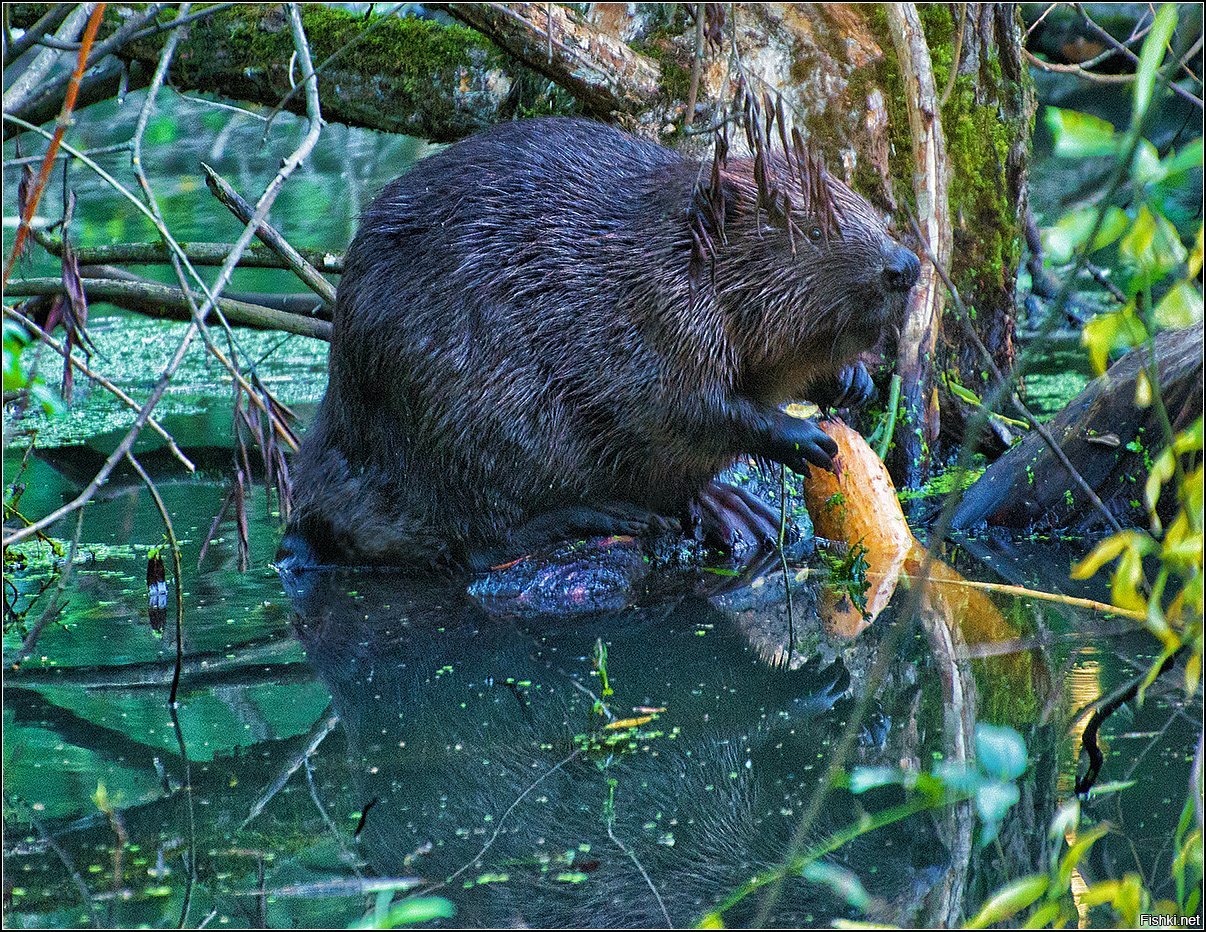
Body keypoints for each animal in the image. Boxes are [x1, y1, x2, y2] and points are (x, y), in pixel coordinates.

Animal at [282, 116, 916, 566]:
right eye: (810, 228)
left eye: (861, 205)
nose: (906, 267)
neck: (664, 252)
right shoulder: (653, 318)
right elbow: (687, 409)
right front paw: (808, 439)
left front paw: (852, 381)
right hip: (459, 420)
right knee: (475, 541)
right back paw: (619, 516)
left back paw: (731, 509)